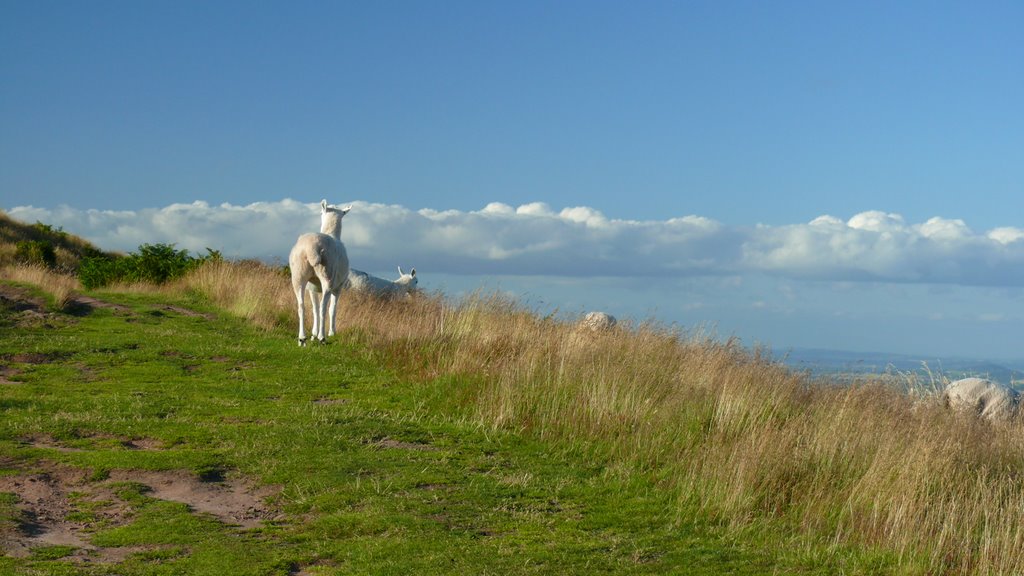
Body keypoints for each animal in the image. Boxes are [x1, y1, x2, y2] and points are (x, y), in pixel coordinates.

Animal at [288, 199, 352, 342]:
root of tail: (311, 249)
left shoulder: (312, 288)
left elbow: (314, 309)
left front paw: (313, 334)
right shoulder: (338, 287)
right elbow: (332, 309)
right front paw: (331, 332)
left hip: (298, 276)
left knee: (301, 306)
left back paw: (302, 337)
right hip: (327, 275)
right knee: (324, 307)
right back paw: (322, 337)